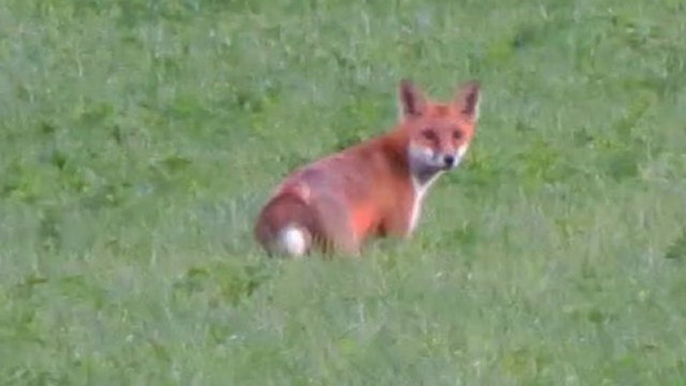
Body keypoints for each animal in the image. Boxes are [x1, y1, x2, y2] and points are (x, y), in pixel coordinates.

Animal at [254, 79, 484, 258]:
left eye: (457, 135)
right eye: (428, 134)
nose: (449, 159)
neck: (405, 162)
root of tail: (288, 197)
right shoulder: (397, 231)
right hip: (346, 249)